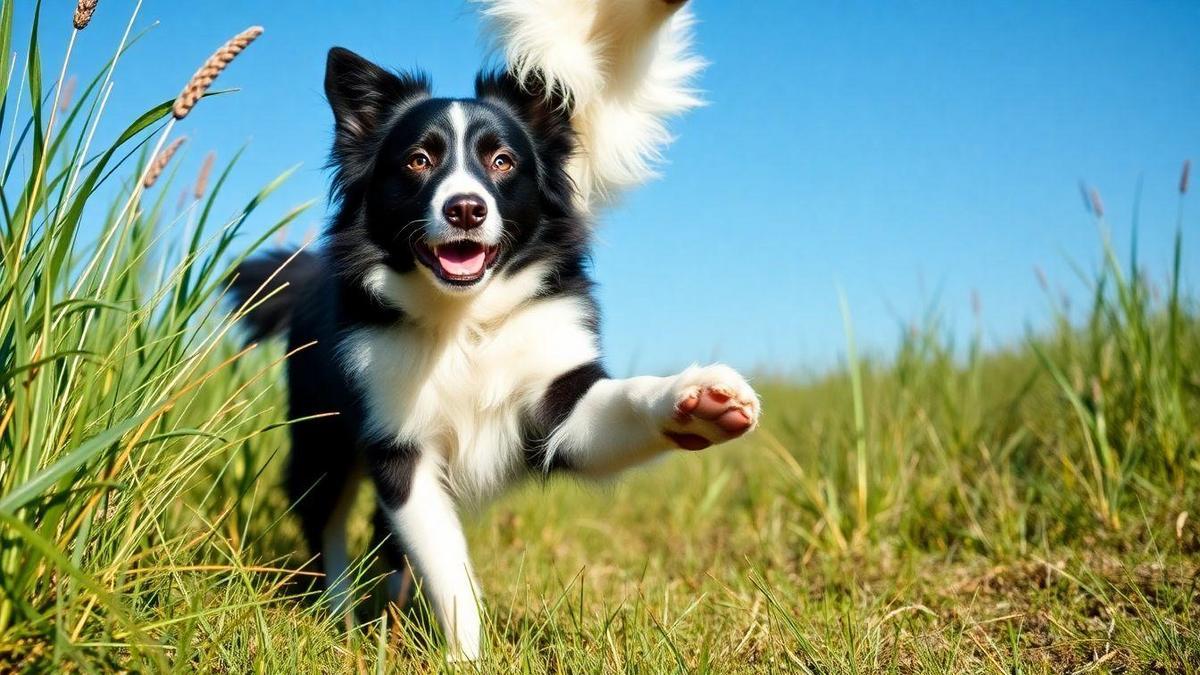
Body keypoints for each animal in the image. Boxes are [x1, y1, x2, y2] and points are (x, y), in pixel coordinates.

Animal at [230, 0, 758, 658]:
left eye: (502, 161)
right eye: (419, 160)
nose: (465, 209)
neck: (466, 324)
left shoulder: (554, 400)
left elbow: (618, 404)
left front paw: (703, 401)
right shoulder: (401, 447)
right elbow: (447, 565)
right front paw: (463, 657)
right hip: (320, 434)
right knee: (325, 522)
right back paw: (342, 620)